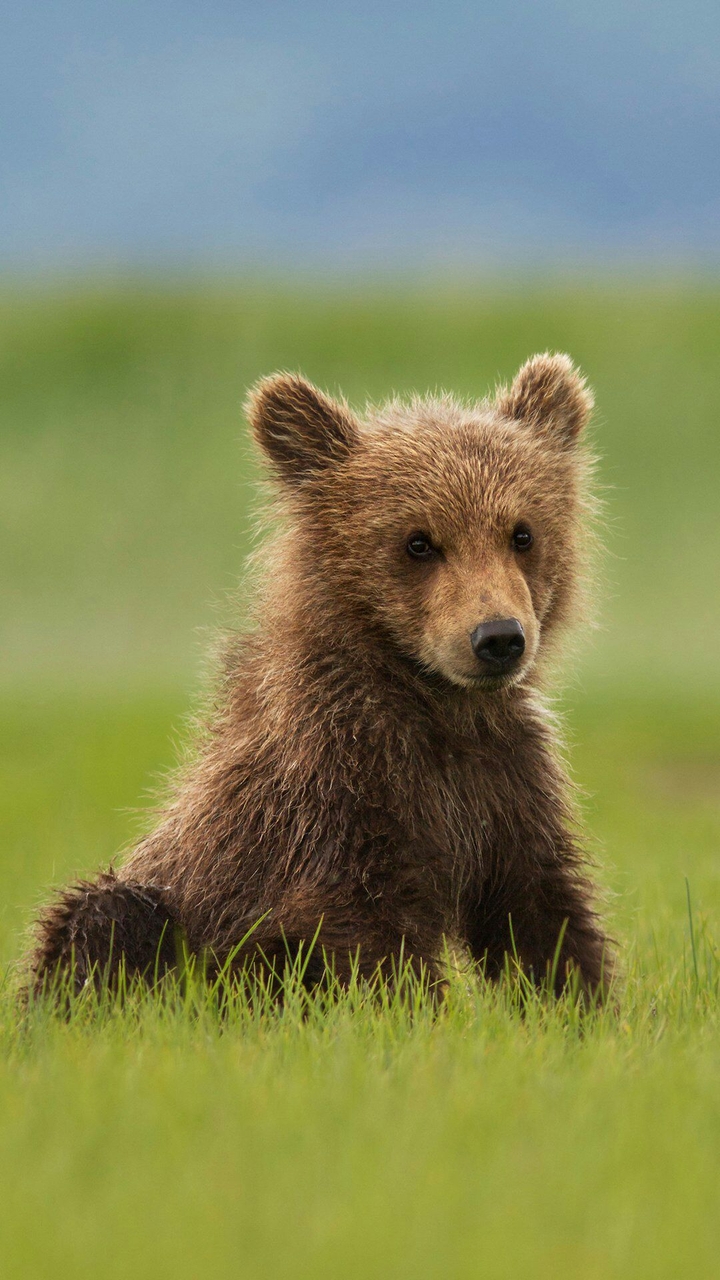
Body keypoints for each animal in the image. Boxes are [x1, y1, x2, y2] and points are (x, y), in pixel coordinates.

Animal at [28, 352, 612, 999]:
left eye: (522, 533)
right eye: (418, 542)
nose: (498, 638)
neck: (437, 707)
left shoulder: (506, 786)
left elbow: (541, 916)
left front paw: (579, 1001)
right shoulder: (335, 792)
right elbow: (369, 935)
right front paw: (417, 1007)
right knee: (108, 916)